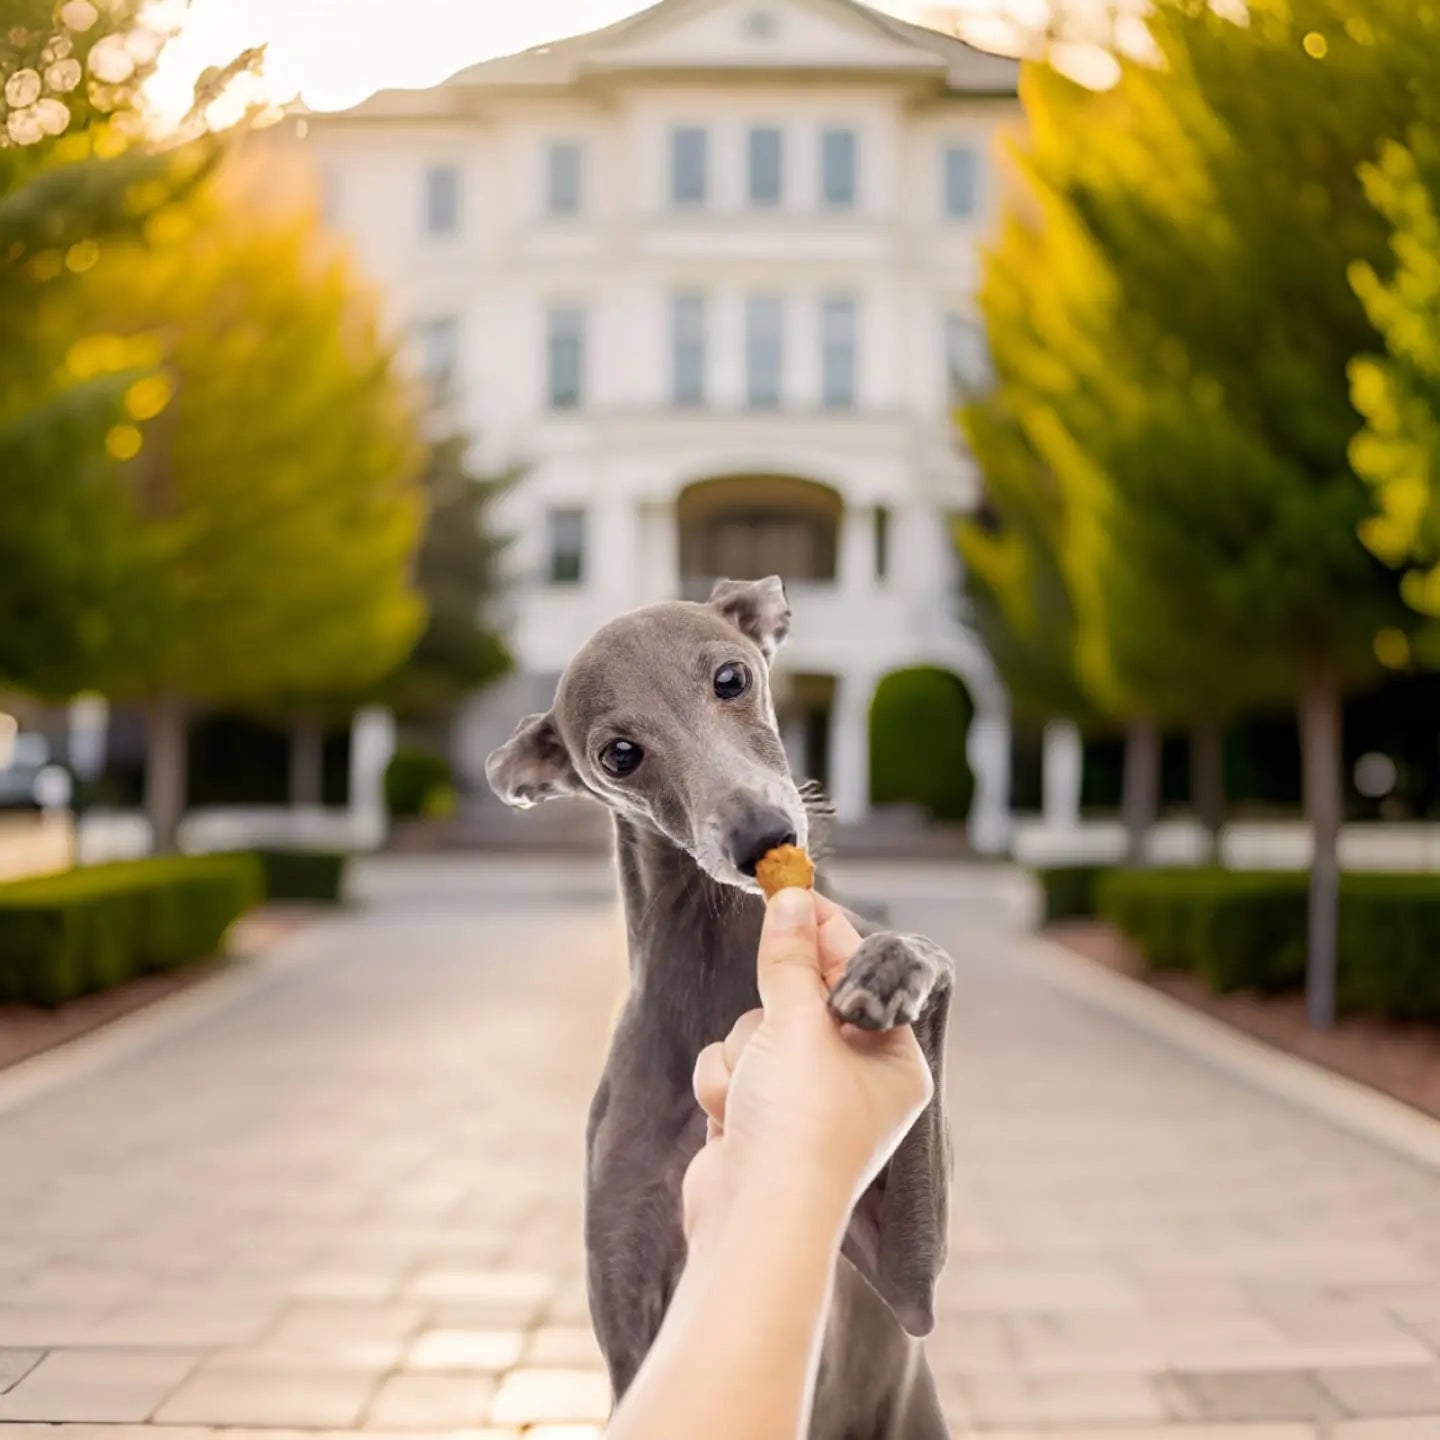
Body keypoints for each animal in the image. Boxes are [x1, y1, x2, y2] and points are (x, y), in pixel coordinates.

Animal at [486, 576, 956, 1440]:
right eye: (619, 755)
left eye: (732, 678)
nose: (761, 837)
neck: (711, 975)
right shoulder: (633, 1332)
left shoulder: (908, 1289)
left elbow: (930, 970)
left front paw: (895, 962)